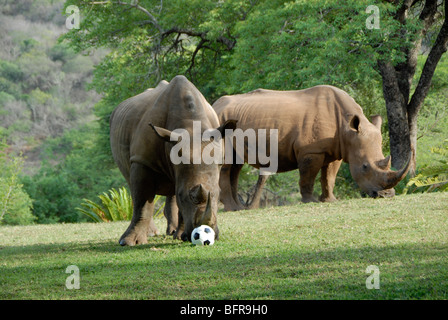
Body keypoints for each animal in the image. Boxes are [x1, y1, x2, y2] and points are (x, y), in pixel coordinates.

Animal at [109, 75, 234, 245]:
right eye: (183, 196)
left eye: (219, 193)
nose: (210, 233)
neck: (192, 129)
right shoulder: (143, 160)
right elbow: (143, 202)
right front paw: (129, 242)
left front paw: (182, 236)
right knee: (132, 184)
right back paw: (151, 234)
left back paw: (173, 232)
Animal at [214, 85, 412, 210]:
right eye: (365, 167)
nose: (386, 195)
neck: (347, 129)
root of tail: (214, 105)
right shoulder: (311, 150)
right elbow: (307, 178)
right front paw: (310, 201)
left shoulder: (337, 150)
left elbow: (329, 177)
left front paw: (330, 200)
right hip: (221, 123)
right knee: (226, 166)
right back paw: (233, 209)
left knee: (235, 166)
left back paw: (240, 208)